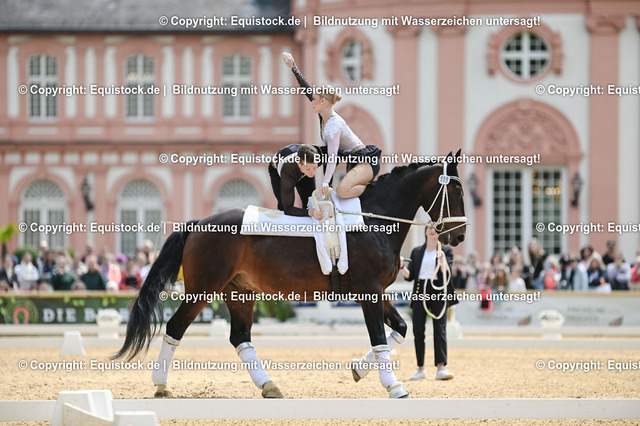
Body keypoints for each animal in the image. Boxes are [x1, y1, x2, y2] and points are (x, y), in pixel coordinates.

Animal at [113, 150, 467, 399]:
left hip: (239, 292)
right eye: (457, 190)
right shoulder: (368, 291)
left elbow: (401, 328)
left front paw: (358, 369)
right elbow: (380, 338)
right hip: (204, 289)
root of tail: (199, 222)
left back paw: (269, 386)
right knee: (175, 327)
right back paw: (161, 385)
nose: (460, 236)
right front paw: (394, 387)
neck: (372, 221)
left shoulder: (377, 291)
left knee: (240, 337)